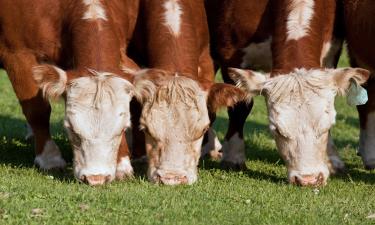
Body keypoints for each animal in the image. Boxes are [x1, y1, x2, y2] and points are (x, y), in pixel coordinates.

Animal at [0, 0, 140, 185]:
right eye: (71, 129)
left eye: (124, 129)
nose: (96, 178)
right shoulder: (17, 55)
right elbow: (37, 111)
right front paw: (49, 158)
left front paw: (122, 164)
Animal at [206, 0, 370, 185]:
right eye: (277, 130)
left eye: (328, 126)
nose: (308, 180)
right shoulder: (230, 53)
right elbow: (239, 107)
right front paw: (234, 156)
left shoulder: (331, 50)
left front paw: (333, 160)